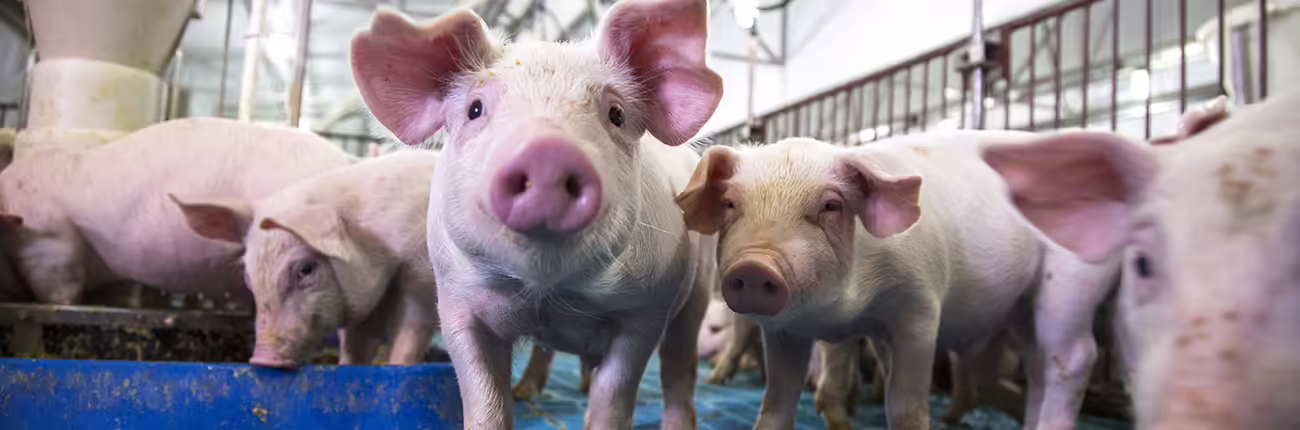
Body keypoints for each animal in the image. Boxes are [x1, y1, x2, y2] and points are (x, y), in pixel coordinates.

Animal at [170, 149, 440, 368]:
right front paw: (347, 366)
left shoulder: (423, 280)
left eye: (306, 270)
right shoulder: (371, 298)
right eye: (248, 277)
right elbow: (357, 344)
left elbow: (411, 332)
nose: (263, 360)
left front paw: (397, 367)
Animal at [347, 0, 723, 426]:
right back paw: (527, 391)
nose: (548, 151)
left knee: (680, 364)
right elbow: (484, 400)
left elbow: (614, 394)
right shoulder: (457, 304)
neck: (548, 294)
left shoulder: (645, 311)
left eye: (616, 114)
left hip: (699, 287)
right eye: (475, 109)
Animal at [676, 135, 1120, 429]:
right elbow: (778, 401)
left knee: (1074, 357)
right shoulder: (787, 332)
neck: (842, 315)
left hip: (1072, 280)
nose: (754, 267)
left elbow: (904, 404)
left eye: (831, 205)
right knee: (1039, 362)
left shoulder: (920, 307)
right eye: (731, 203)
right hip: (1024, 307)